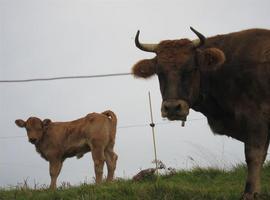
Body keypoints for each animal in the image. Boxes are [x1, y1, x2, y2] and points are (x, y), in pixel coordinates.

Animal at [132, 27, 270, 199]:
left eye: (190, 69)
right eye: (159, 72)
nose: (172, 107)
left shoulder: (256, 119)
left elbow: (254, 156)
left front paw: (250, 193)